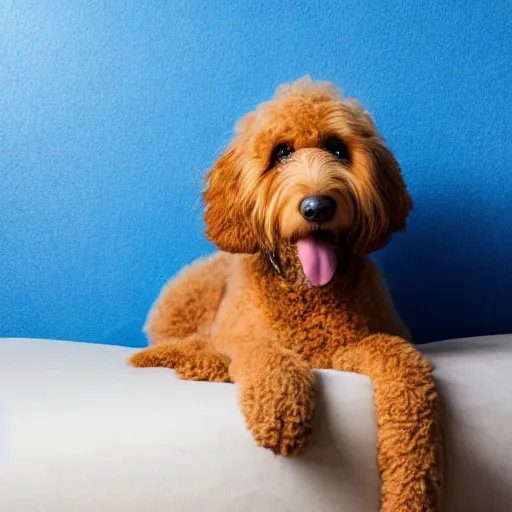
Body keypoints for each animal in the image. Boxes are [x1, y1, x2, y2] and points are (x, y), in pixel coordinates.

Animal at [130, 77, 442, 512]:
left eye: (338, 149)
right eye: (281, 153)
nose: (317, 207)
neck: (307, 292)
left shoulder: (356, 344)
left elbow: (403, 366)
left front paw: (412, 486)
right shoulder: (241, 334)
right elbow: (262, 350)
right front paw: (279, 409)